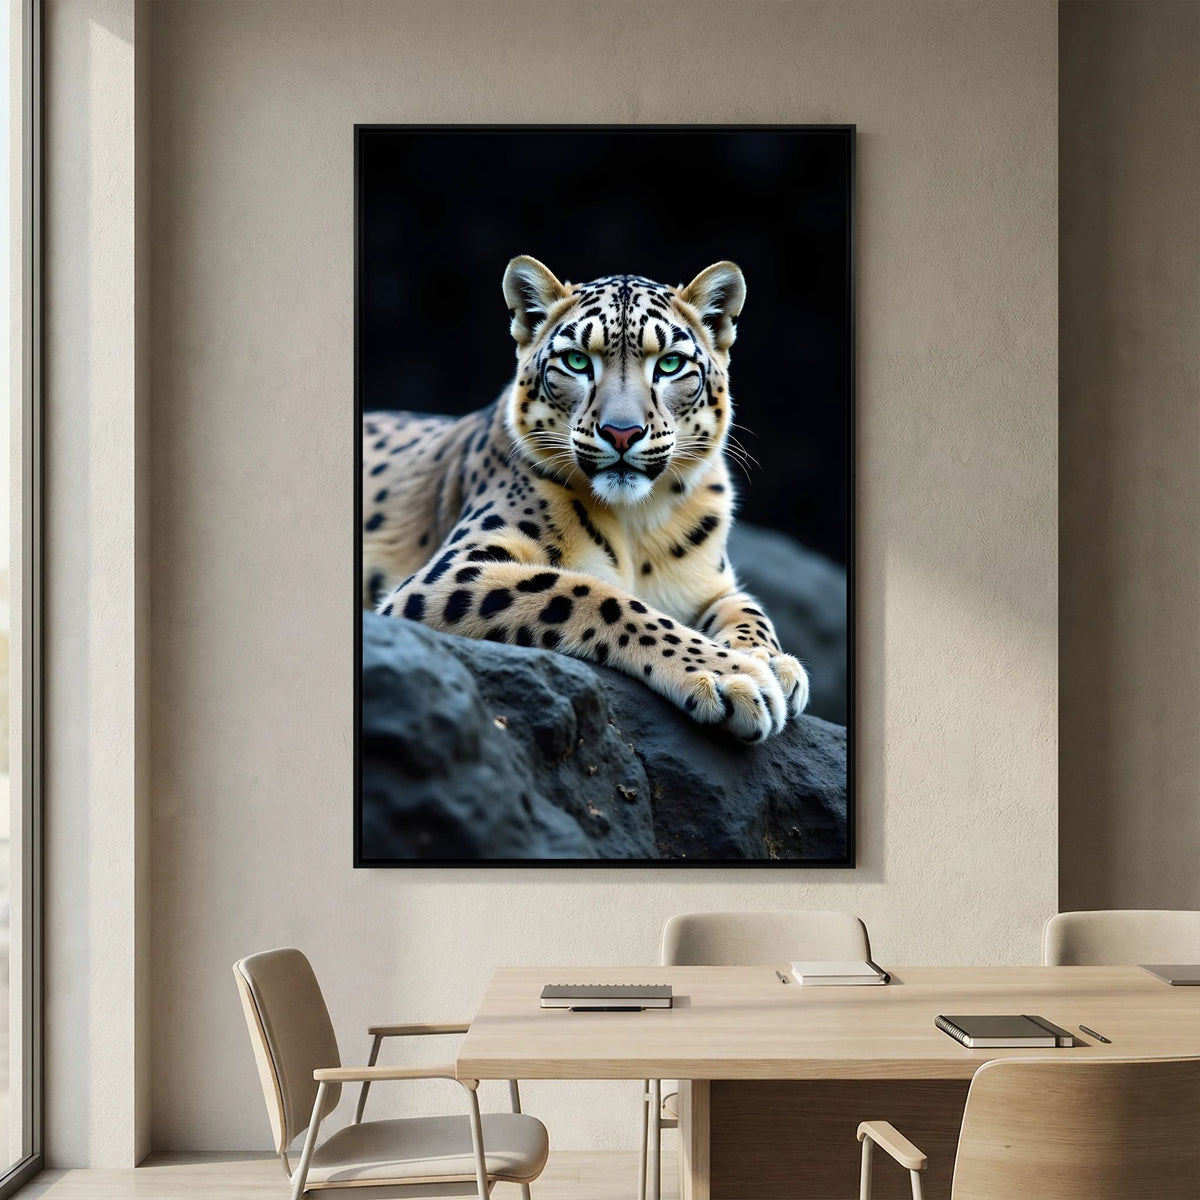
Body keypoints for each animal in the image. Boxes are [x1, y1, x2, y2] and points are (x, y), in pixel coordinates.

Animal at [362, 256, 809, 742]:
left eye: (670, 363)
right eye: (577, 360)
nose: (622, 432)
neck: (637, 523)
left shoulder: (711, 584)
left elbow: (749, 609)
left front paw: (773, 662)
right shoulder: (451, 570)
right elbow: (590, 593)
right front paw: (734, 675)